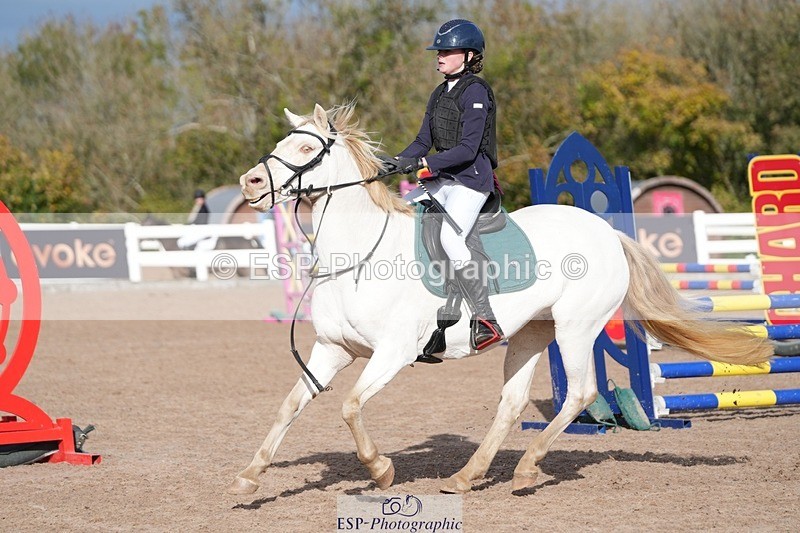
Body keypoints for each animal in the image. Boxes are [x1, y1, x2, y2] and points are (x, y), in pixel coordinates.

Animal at [231, 103, 771, 495]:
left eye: (306, 147)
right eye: (280, 144)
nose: (250, 183)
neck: (360, 254)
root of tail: (606, 232)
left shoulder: (392, 353)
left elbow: (350, 406)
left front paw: (381, 470)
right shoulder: (333, 349)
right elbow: (290, 405)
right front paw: (249, 477)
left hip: (577, 328)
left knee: (580, 394)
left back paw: (527, 470)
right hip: (531, 334)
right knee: (512, 404)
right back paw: (466, 476)